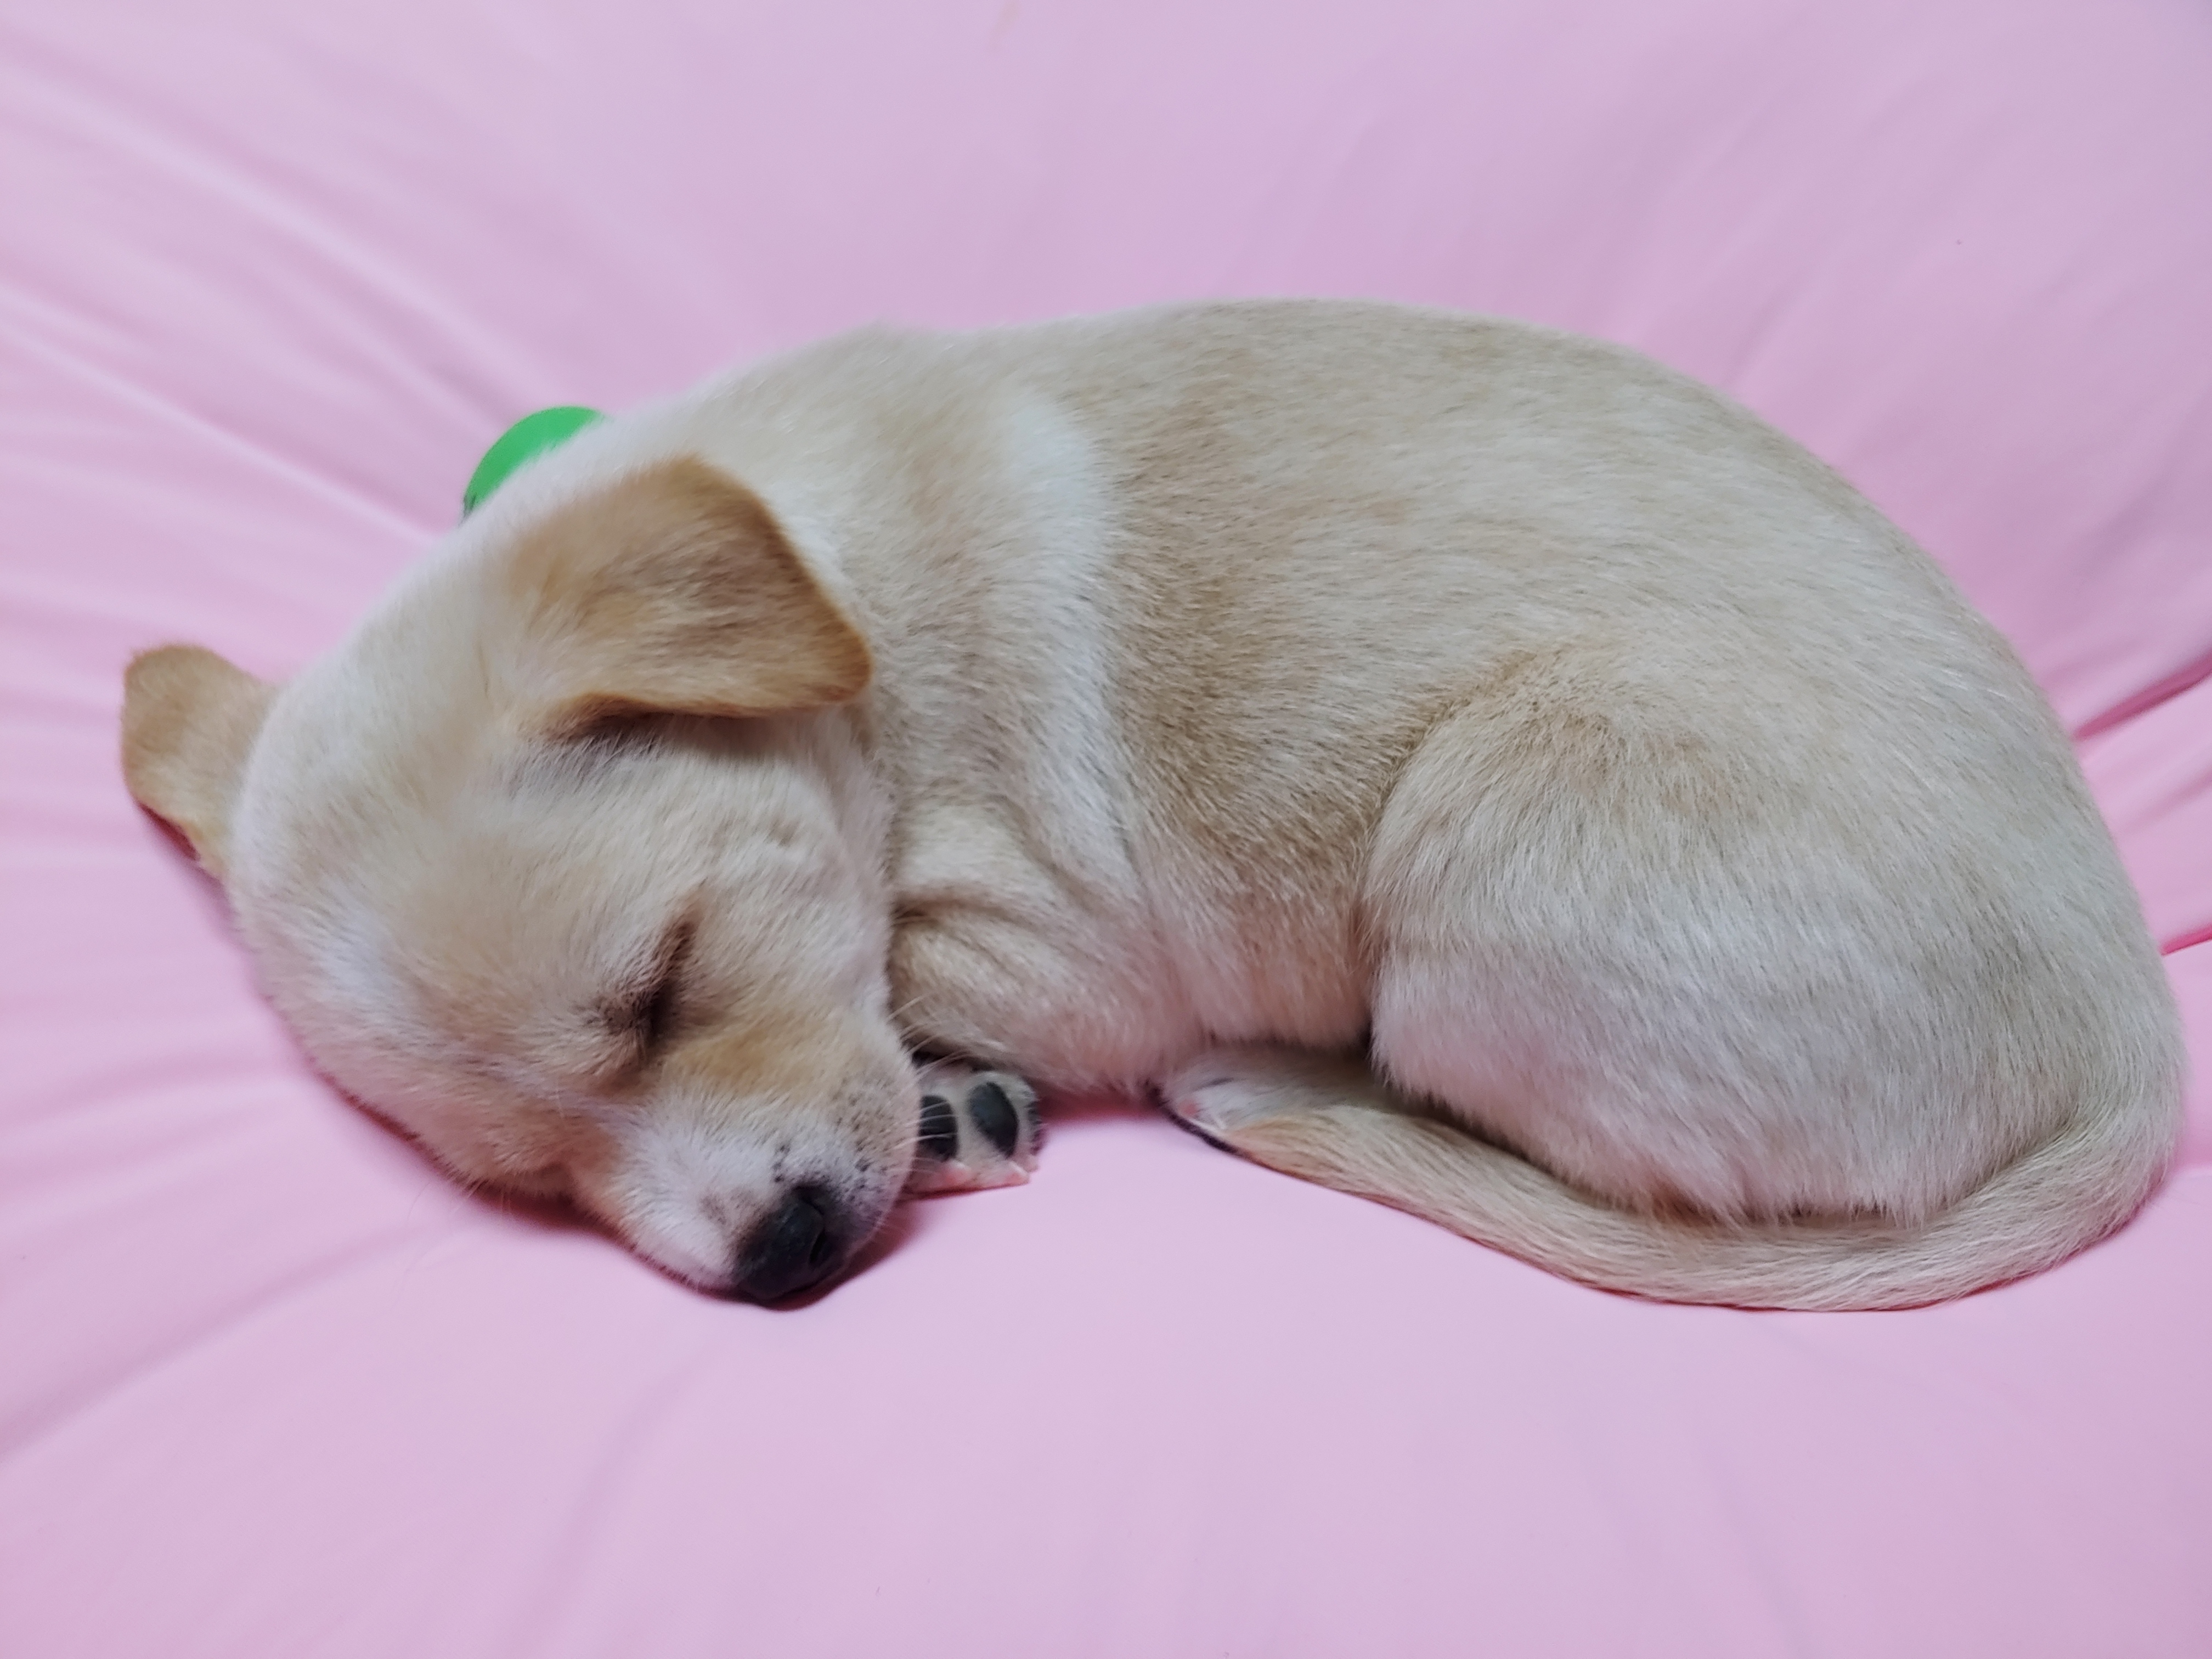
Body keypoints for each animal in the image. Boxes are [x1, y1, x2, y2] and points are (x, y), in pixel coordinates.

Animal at [120, 299, 2185, 1308]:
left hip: (1493, 835)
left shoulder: (1070, 949)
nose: (779, 1262)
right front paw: (940, 1104)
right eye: (526, 1183)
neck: (845, 608)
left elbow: (921, 976)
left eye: (669, 984)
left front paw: (946, 1084)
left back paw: (1277, 1083)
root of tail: (2135, 1053)